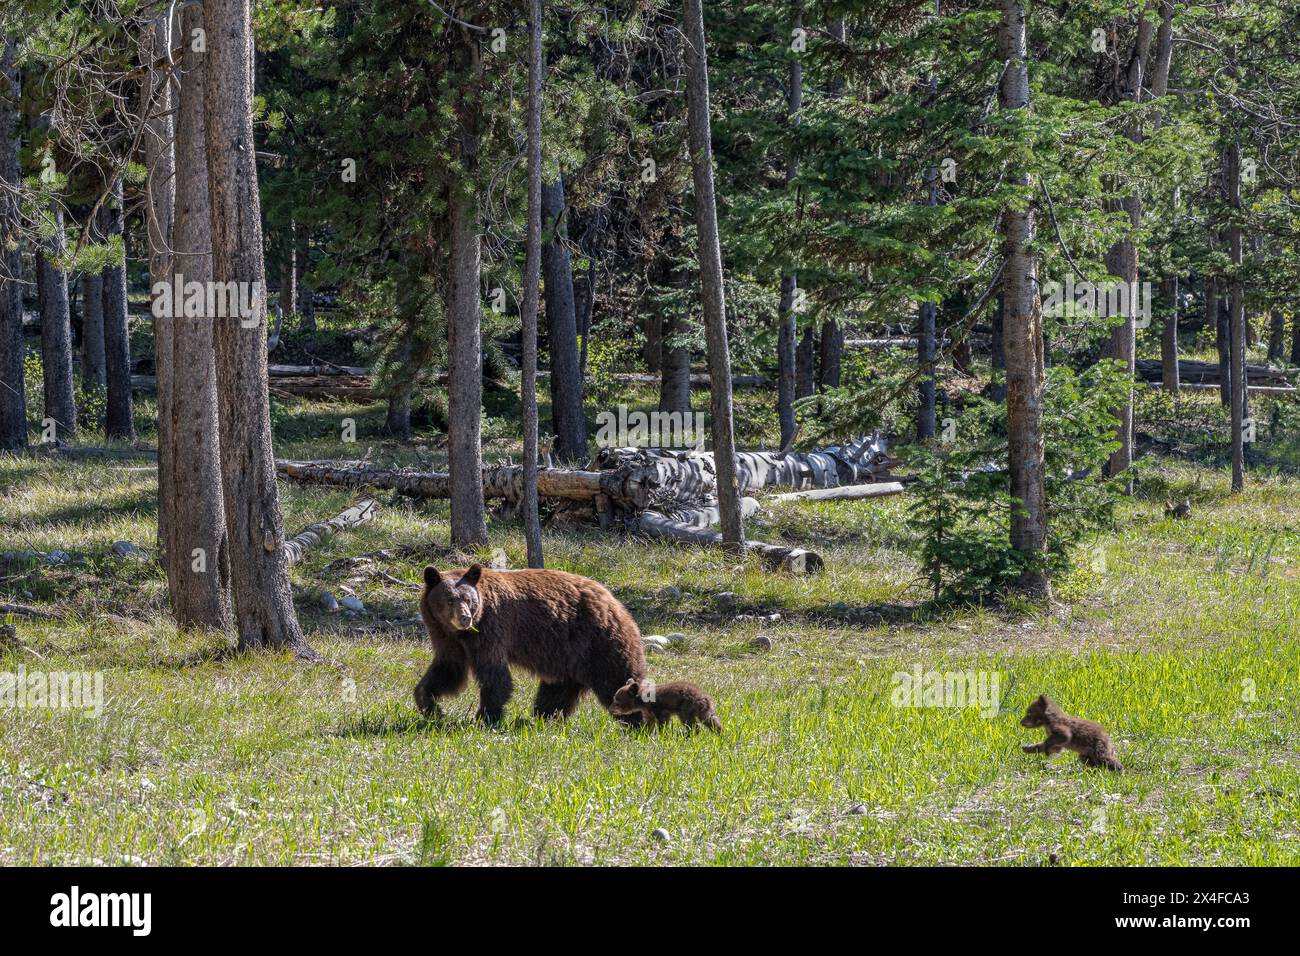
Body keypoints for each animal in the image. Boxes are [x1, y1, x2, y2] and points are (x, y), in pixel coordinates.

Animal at [416, 561, 650, 723]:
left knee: (617, 678)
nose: (465, 618)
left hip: (600, 642)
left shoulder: (490, 628)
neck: (461, 633)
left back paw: (637, 721)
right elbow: (449, 670)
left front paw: (485, 716)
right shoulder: (445, 636)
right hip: (567, 656)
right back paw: (544, 718)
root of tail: (615, 602)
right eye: (450, 599)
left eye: (468, 599)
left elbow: (494, 673)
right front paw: (431, 707)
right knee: (557, 690)